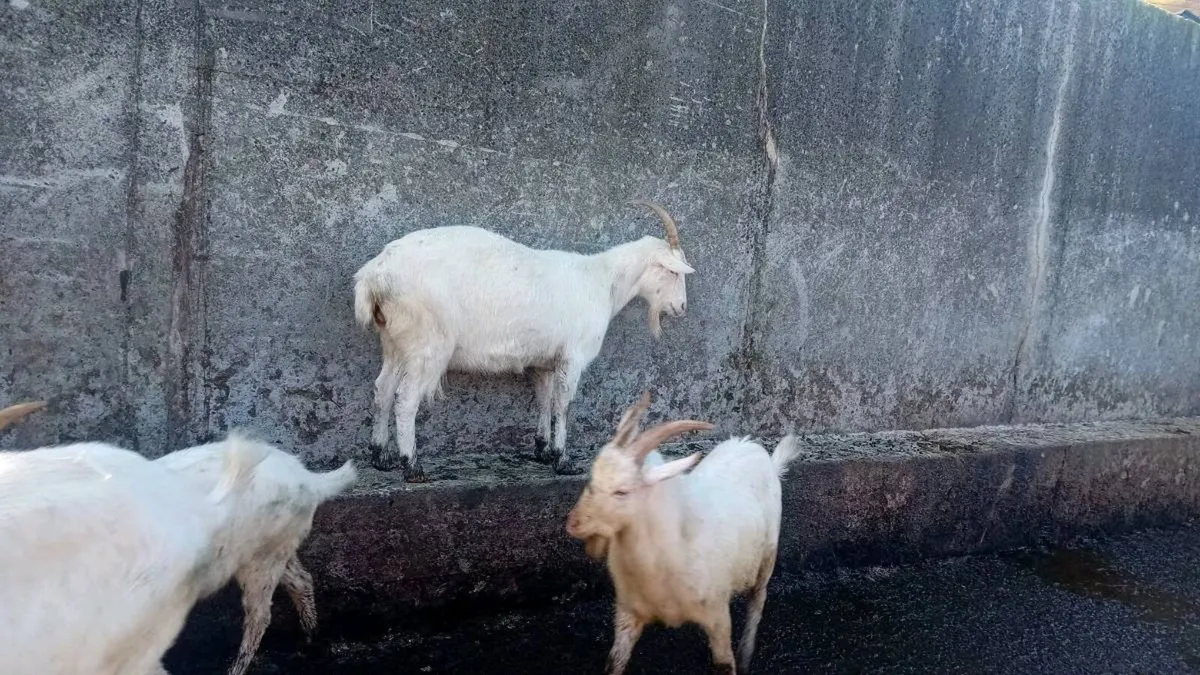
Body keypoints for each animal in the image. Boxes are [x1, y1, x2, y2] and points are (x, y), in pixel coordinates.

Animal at [156, 434, 357, 675]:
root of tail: (310, 479)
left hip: (261, 558)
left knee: (260, 615)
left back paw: (234, 669)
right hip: (280, 544)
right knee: (302, 580)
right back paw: (311, 637)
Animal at [353, 201, 695, 482]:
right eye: (674, 272)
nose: (681, 307)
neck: (602, 281)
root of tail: (374, 276)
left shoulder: (545, 361)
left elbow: (544, 399)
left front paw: (542, 450)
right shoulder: (572, 356)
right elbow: (563, 404)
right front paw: (563, 460)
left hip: (395, 341)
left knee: (382, 389)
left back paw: (380, 457)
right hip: (427, 343)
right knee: (405, 399)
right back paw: (411, 466)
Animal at [566, 392, 799, 675]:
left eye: (621, 491)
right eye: (592, 479)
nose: (573, 523)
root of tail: (762, 455)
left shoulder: (716, 614)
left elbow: (724, 663)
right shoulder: (627, 613)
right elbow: (615, 662)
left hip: (767, 556)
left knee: (757, 599)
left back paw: (745, 654)